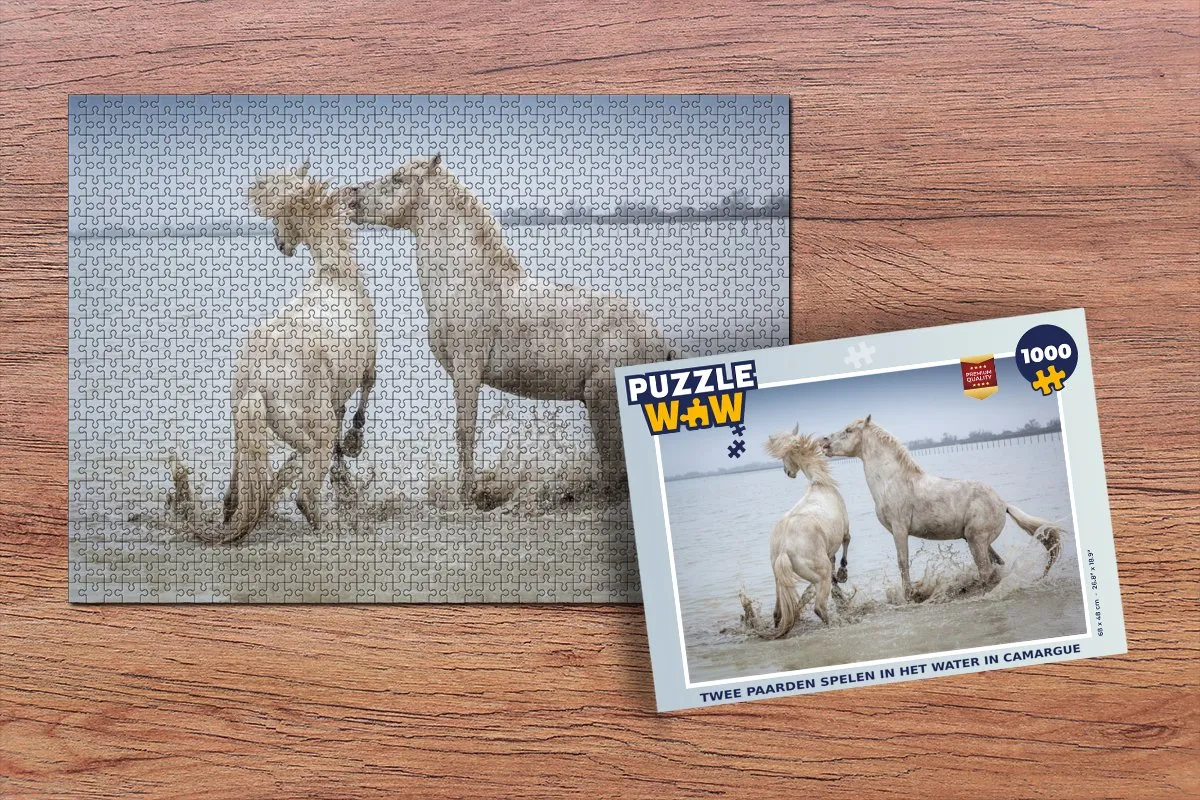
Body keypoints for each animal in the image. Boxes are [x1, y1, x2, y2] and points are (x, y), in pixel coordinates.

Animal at [207, 164, 377, 543]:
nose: (280, 244)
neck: (335, 275)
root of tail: (259, 383)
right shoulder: (368, 362)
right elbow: (364, 395)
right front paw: (354, 443)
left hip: (245, 428)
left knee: (235, 493)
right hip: (312, 429)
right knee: (304, 492)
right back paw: (329, 524)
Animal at [344, 156, 673, 505]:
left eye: (398, 179)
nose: (351, 198)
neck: (466, 282)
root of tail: (660, 340)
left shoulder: (467, 372)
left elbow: (465, 431)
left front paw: (467, 495)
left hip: (601, 398)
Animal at [762, 425, 851, 638]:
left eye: (784, 457)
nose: (787, 472)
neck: (820, 483)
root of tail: (784, 549)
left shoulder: (829, 550)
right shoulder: (845, 529)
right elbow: (846, 545)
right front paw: (842, 574)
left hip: (779, 580)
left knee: (778, 612)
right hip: (820, 574)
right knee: (819, 607)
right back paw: (836, 623)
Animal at [820, 416, 1062, 600]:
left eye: (848, 430)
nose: (824, 442)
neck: (892, 481)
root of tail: (1003, 504)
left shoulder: (900, 530)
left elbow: (902, 563)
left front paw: (909, 596)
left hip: (976, 540)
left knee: (987, 572)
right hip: (978, 541)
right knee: (997, 565)